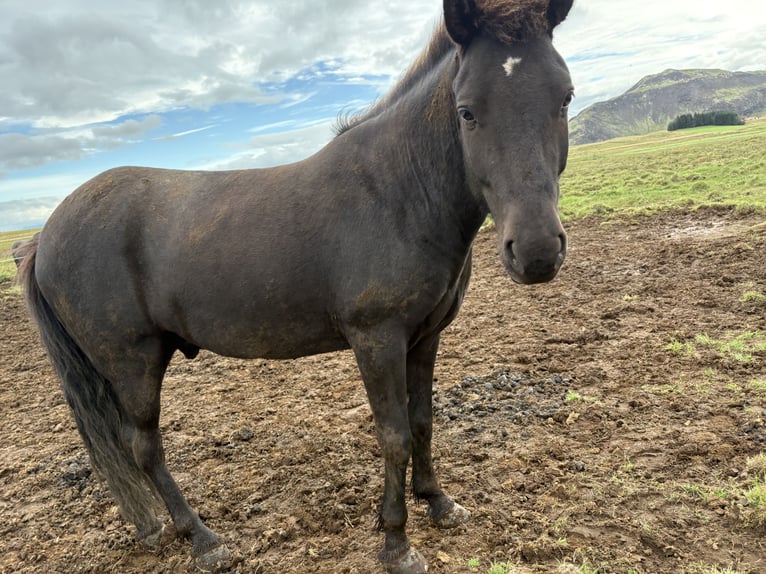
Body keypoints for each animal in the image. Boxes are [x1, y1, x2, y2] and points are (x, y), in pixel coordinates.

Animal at [21, 0, 574, 571]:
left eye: (565, 97)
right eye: (467, 111)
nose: (536, 252)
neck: (398, 191)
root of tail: (46, 233)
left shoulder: (426, 335)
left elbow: (422, 420)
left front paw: (438, 502)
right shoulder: (377, 339)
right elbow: (394, 435)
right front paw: (396, 543)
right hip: (133, 363)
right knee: (144, 447)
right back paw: (203, 538)